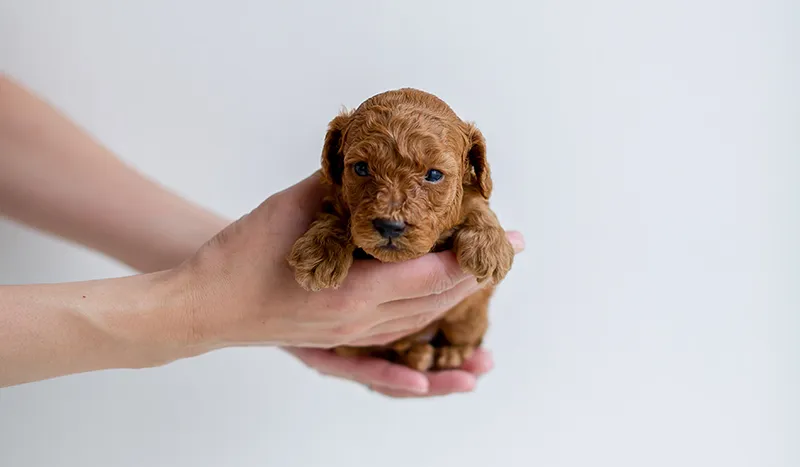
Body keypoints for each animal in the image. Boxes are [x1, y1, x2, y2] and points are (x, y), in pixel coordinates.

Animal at [288, 88, 512, 372]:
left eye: (434, 175)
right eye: (361, 168)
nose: (390, 227)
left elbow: (478, 204)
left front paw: (490, 249)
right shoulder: (332, 197)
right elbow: (333, 216)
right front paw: (319, 254)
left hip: (468, 319)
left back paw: (449, 354)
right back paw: (417, 354)